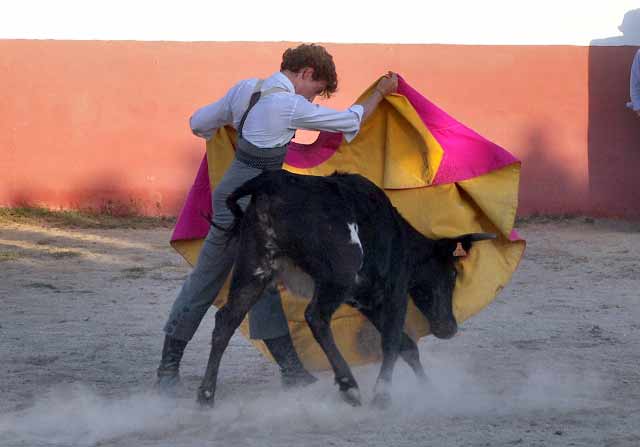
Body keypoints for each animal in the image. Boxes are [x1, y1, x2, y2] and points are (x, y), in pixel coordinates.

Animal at [195, 170, 496, 408]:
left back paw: (206, 395)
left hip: (254, 270)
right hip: (337, 276)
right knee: (316, 316)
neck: (401, 239)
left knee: (226, 320)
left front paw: (428, 388)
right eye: (453, 273)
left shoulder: (367, 300)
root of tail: (269, 182)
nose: (448, 328)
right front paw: (383, 395)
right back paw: (348, 385)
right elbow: (392, 341)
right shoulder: (394, 292)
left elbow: (405, 345)